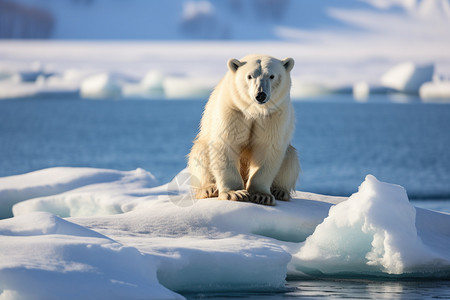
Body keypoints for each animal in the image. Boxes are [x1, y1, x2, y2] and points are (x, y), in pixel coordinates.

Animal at [188, 54, 300, 205]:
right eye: (250, 76)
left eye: (271, 76)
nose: (260, 95)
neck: (254, 110)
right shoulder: (233, 110)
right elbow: (226, 144)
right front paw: (235, 193)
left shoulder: (273, 115)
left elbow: (267, 148)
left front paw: (262, 195)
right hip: (203, 144)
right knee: (200, 154)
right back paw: (209, 189)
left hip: (287, 151)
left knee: (290, 159)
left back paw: (279, 191)